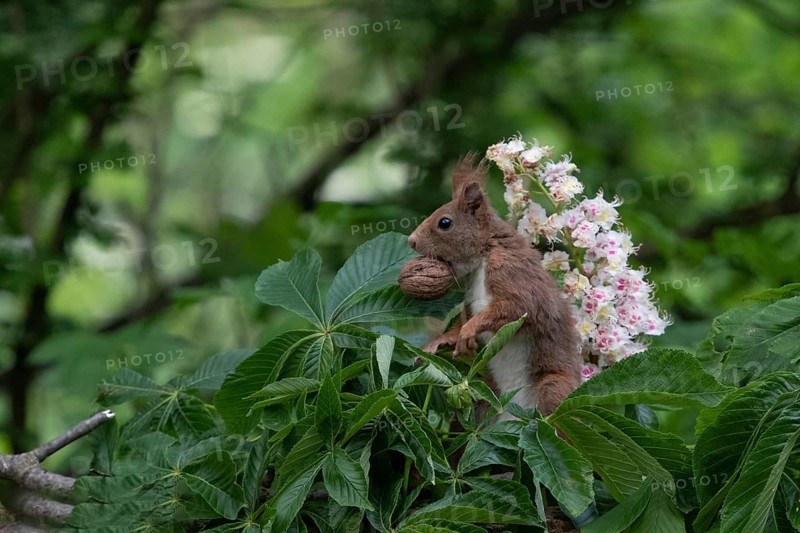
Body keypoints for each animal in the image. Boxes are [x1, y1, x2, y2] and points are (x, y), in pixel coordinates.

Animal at [407, 153, 581, 417]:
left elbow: (517, 307)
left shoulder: (511, 272)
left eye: (445, 223)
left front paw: (468, 331)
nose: (411, 241)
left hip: (553, 387)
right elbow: (462, 320)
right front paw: (443, 339)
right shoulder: (469, 296)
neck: (483, 256)